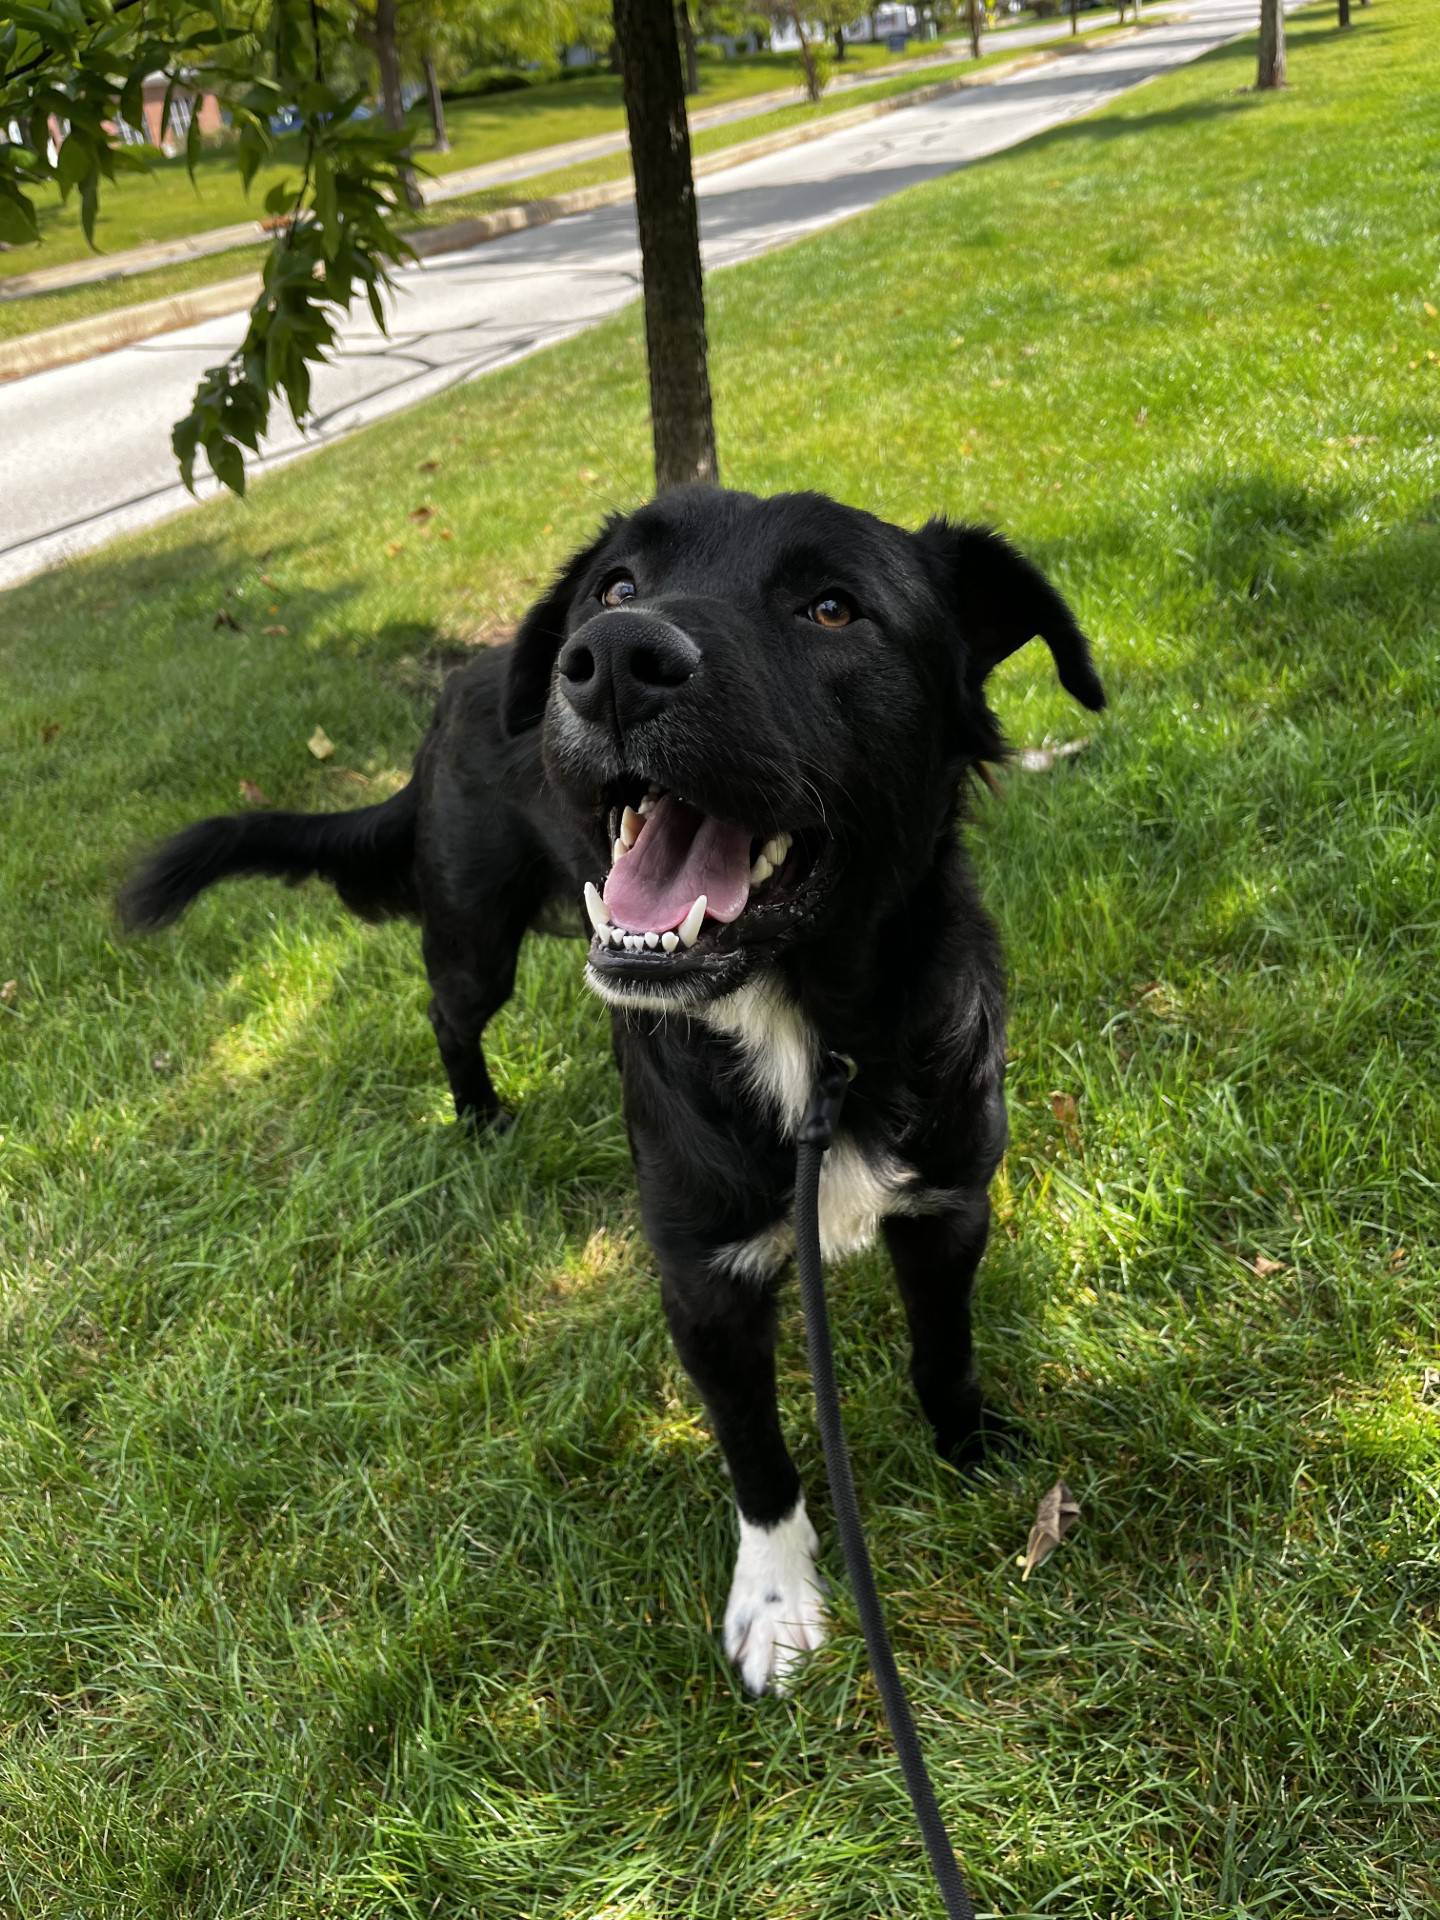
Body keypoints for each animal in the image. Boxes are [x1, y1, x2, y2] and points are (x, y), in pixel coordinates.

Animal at [126, 483, 1105, 1697]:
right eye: (619, 586)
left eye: (833, 608)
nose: (608, 663)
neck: (802, 1033)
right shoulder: (702, 1279)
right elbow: (757, 1453)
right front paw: (776, 1601)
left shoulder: (949, 1205)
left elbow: (945, 1348)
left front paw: (971, 1450)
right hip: (475, 931)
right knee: (447, 1014)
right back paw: (478, 1116)